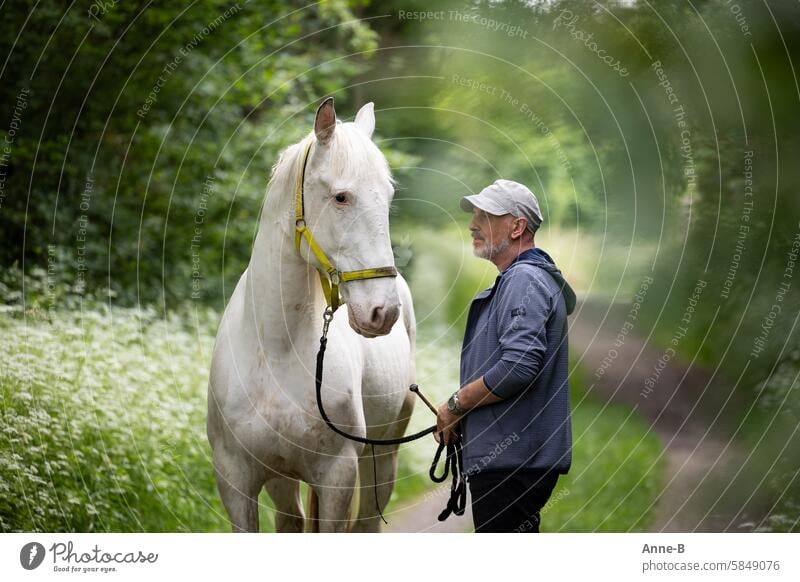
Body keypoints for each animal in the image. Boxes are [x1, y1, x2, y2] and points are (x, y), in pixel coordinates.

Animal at [206, 99, 418, 532]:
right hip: (283, 479)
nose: (383, 312)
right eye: (341, 197)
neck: (275, 348)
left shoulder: (337, 476)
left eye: (388, 197)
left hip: (381, 461)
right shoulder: (235, 479)